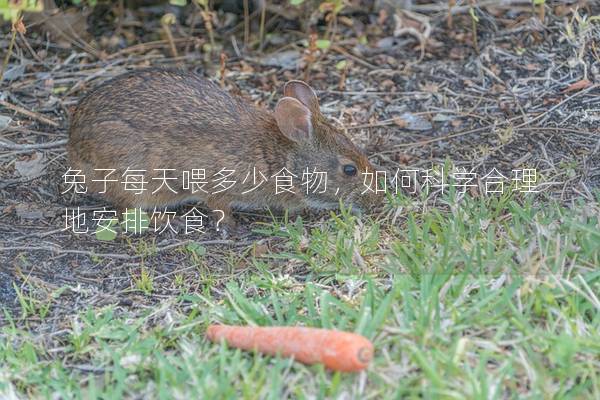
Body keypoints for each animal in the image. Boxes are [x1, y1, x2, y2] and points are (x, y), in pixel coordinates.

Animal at [67, 68, 384, 231]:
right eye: (350, 169)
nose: (377, 200)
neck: (281, 159)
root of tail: (74, 148)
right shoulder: (214, 180)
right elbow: (218, 205)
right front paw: (230, 225)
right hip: (132, 174)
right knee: (127, 210)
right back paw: (169, 220)